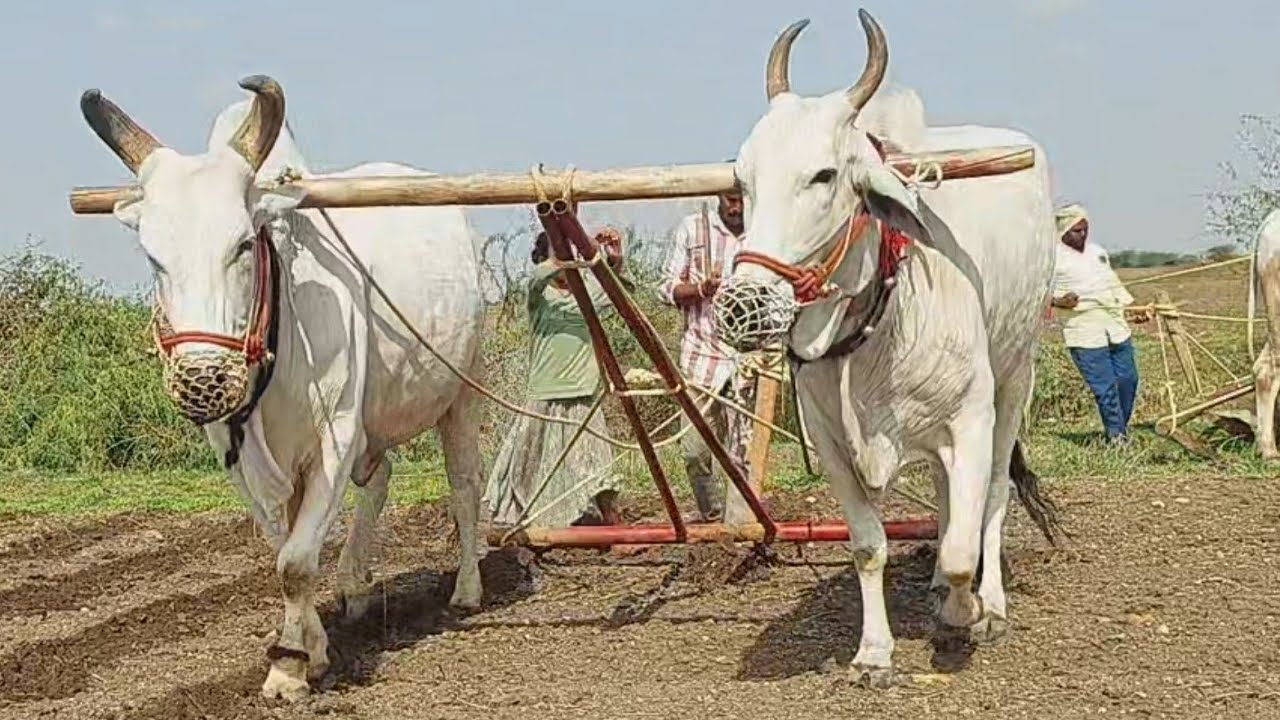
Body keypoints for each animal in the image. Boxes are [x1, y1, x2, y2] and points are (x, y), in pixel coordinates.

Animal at [78, 76, 488, 700]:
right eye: (153, 257)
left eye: (245, 244)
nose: (203, 382)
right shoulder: (241, 454)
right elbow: (286, 546)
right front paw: (311, 647)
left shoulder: (334, 436)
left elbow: (295, 562)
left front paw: (289, 667)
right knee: (379, 479)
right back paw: (355, 584)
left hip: (462, 391)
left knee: (464, 484)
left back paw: (467, 589)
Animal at [713, 11, 1062, 685]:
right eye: (743, 180)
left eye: (823, 175)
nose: (743, 303)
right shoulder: (831, 443)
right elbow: (870, 547)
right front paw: (875, 652)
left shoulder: (972, 420)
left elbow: (963, 546)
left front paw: (965, 615)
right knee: (951, 500)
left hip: (1016, 377)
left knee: (991, 499)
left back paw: (989, 602)